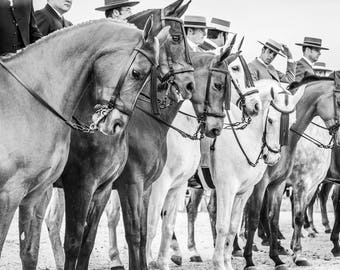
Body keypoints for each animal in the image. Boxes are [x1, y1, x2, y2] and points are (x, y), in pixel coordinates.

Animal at [0, 17, 161, 268]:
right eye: (136, 73)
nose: (116, 124)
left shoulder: (40, 192)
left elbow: (33, 252)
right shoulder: (18, 192)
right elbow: (74, 241)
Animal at [243, 79, 340, 270]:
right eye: (339, 102)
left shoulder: (296, 184)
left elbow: (293, 216)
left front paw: (295, 254)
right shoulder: (295, 183)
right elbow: (258, 216)